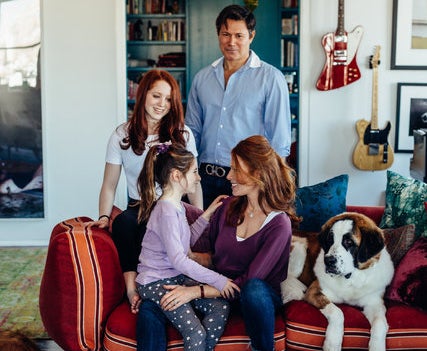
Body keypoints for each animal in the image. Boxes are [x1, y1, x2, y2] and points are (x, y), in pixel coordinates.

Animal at [282, 212, 396, 351]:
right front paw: (332, 344)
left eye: (348, 242)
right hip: (300, 247)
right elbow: (338, 312)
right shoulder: (314, 292)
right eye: (330, 240)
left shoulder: (375, 302)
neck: (351, 278)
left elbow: (380, 322)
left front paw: (377, 346)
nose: (328, 261)